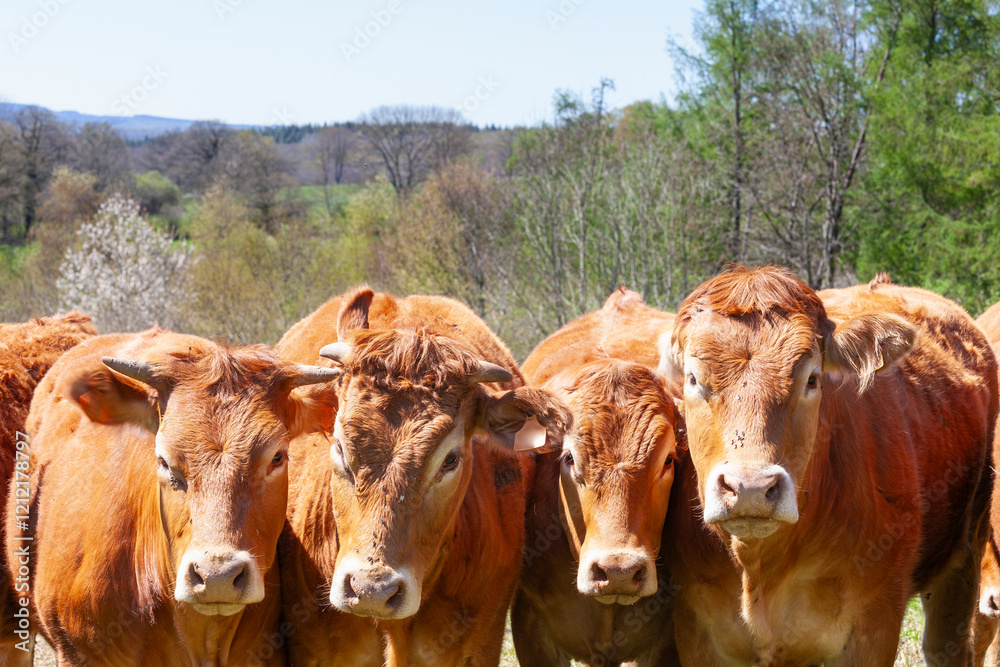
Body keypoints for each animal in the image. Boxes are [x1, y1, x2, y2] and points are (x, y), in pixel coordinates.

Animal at [659, 266, 997, 665]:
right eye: (693, 379)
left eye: (812, 379)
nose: (751, 488)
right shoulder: (696, 630)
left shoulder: (874, 627)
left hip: (965, 561)